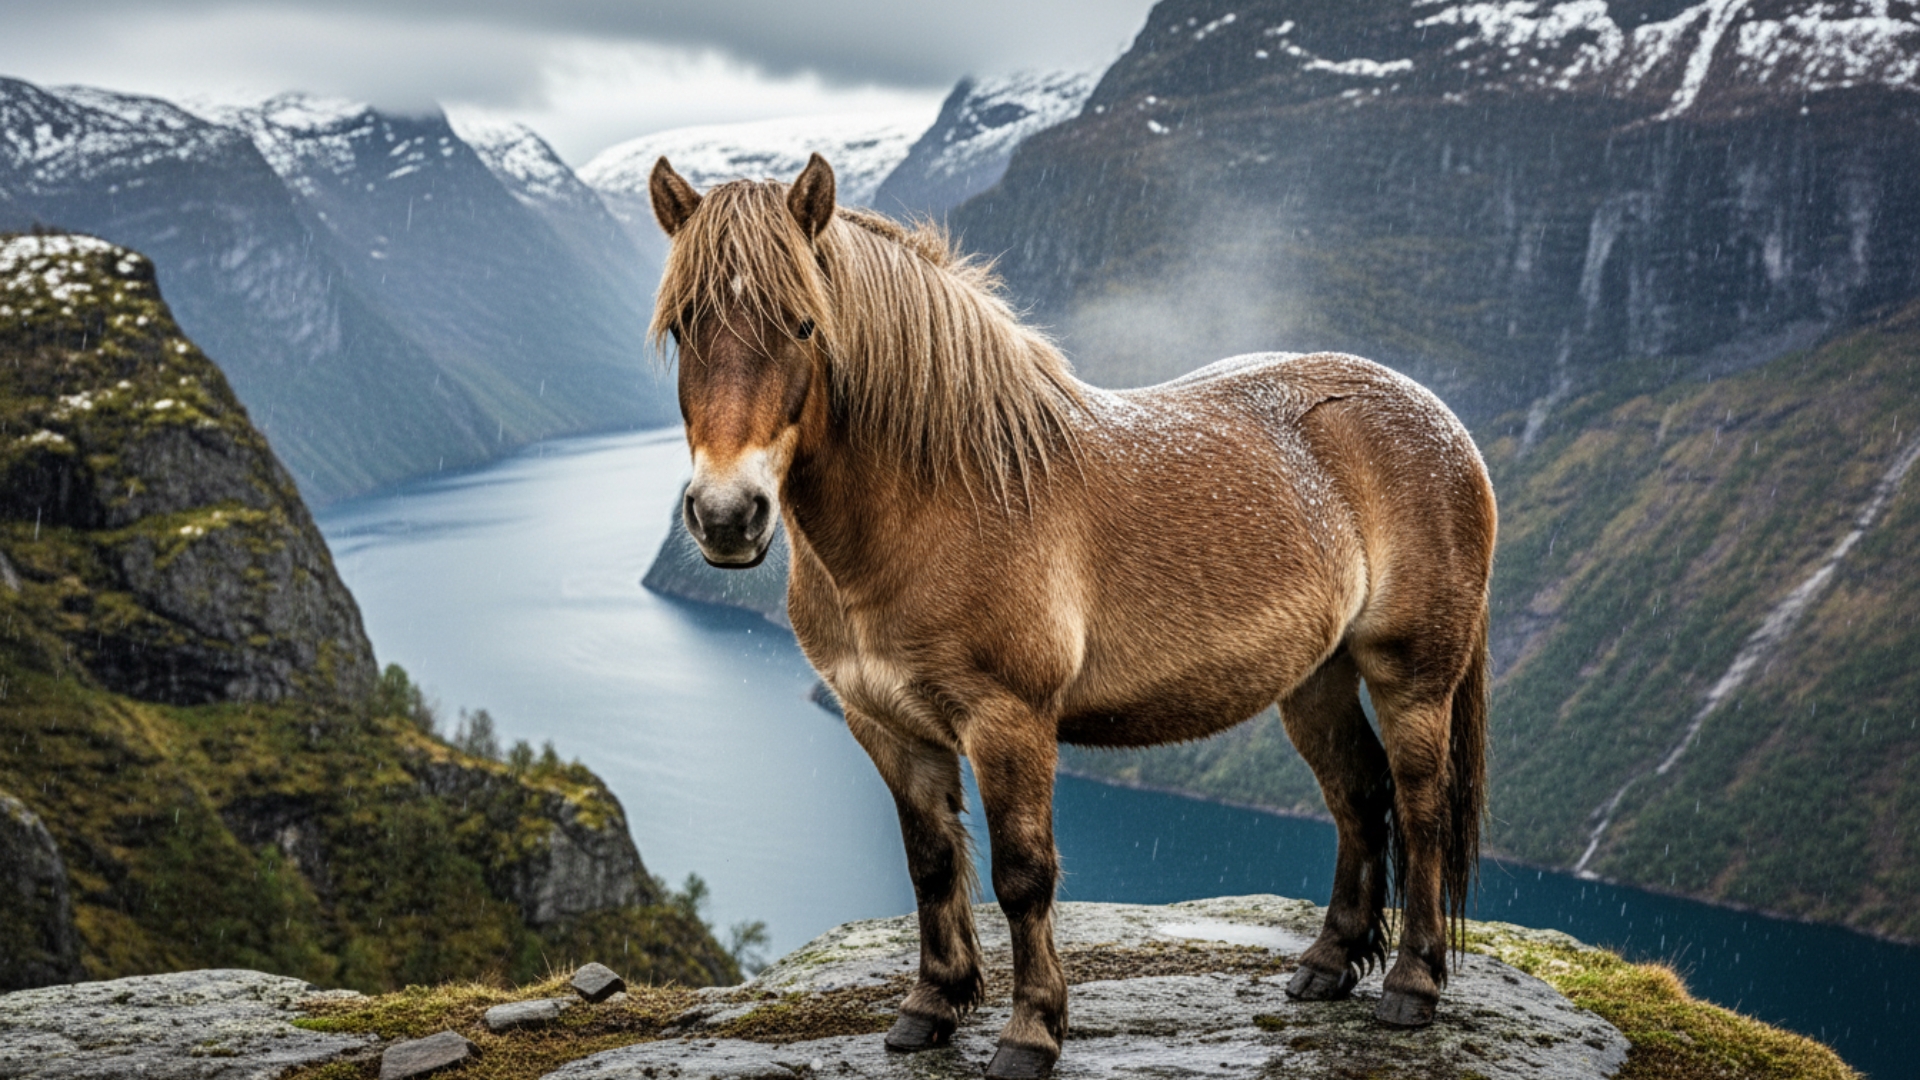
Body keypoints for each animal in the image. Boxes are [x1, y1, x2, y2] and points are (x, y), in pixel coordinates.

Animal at [647, 153, 1495, 1079]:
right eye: (683, 329)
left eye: (803, 324)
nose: (727, 517)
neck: (938, 497)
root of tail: (1441, 419)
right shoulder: (886, 724)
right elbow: (930, 864)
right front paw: (929, 1008)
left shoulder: (1009, 721)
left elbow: (1022, 875)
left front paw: (1030, 1033)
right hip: (1314, 680)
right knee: (1358, 793)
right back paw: (1327, 965)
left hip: (1413, 675)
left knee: (1419, 801)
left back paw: (1411, 986)